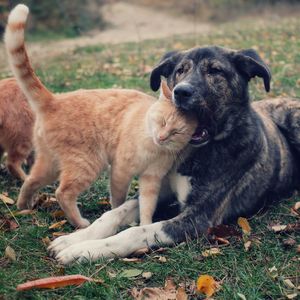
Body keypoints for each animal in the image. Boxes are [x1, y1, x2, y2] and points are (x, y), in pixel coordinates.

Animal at [5, 5, 197, 227]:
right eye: (162, 121)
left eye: (176, 131)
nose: (162, 137)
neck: (152, 146)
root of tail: (54, 99)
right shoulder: (120, 170)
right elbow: (118, 199)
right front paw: (116, 216)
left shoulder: (151, 179)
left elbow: (147, 206)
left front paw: (144, 225)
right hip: (87, 163)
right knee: (63, 192)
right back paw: (80, 223)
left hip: (50, 163)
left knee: (30, 180)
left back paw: (23, 206)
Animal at [49, 45, 300, 264]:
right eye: (180, 70)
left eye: (215, 70)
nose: (181, 92)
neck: (194, 153)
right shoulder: (161, 189)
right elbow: (114, 213)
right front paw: (74, 239)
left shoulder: (199, 217)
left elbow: (137, 231)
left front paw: (85, 250)